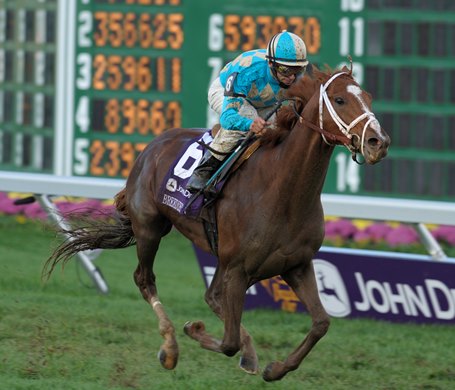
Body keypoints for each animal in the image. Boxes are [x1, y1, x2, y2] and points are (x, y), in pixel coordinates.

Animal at [44, 67, 390, 380]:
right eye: (340, 99)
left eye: (369, 97)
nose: (378, 141)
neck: (283, 191)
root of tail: (155, 142)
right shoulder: (238, 268)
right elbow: (228, 341)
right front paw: (193, 329)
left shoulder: (296, 265)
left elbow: (321, 323)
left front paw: (275, 368)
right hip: (151, 227)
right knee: (145, 279)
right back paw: (170, 346)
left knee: (212, 296)